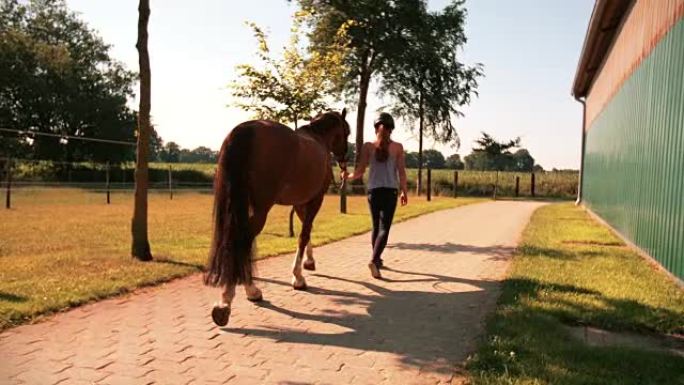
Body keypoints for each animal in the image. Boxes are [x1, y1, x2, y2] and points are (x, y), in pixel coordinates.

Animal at [206, 109, 350, 326]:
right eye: (347, 132)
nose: (344, 160)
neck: (319, 138)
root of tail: (245, 129)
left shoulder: (300, 202)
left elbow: (307, 231)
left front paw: (308, 262)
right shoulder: (315, 199)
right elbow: (304, 234)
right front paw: (298, 278)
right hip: (260, 209)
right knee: (243, 242)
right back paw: (237, 297)